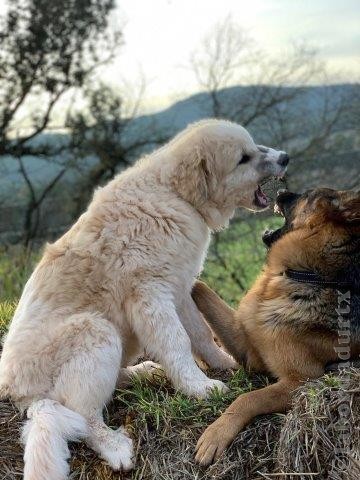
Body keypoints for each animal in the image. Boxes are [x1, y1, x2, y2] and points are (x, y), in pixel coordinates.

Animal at [0, 119, 286, 476]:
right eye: (242, 159)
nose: (286, 157)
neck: (175, 195)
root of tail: (17, 391)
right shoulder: (150, 294)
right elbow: (177, 342)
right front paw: (200, 388)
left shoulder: (178, 286)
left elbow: (199, 334)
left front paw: (225, 364)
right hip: (95, 331)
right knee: (83, 415)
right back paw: (115, 446)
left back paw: (145, 371)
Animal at [193, 188, 358, 464]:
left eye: (308, 195)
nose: (280, 191)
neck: (300, 274)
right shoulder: (246, 348)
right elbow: (201, 288)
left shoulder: (300, 382)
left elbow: (248, 397)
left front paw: (216, 434)